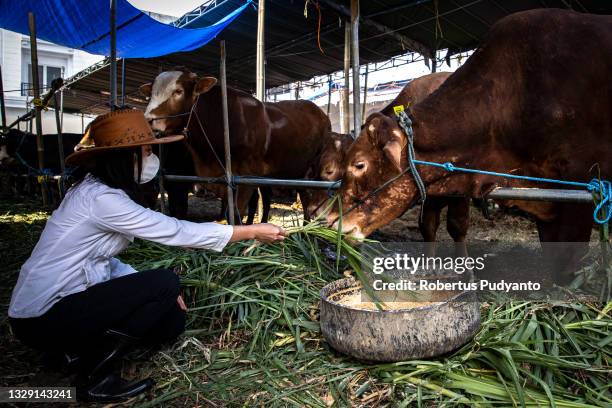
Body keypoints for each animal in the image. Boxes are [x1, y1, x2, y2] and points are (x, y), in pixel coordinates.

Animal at [140, 69, 330, 223]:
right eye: (151, 94)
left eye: (178, 91)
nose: (147, 120)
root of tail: (319, 112)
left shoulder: (247, 178)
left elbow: (236, 214)